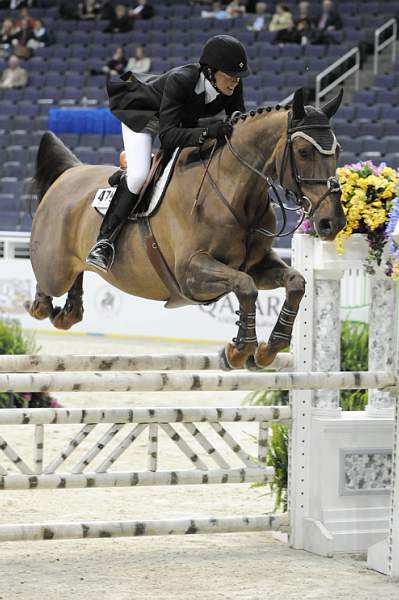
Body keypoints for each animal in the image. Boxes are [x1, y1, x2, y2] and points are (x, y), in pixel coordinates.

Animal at [26, 88, 346, 370]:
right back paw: (44, 303)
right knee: (46, 287)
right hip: (55, 268)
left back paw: (68, 311)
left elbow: (294, 282)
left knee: (73, 292)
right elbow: (245, 286)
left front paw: (269, 349)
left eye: (338, 150)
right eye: (303, 151)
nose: (332, 223)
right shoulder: (190, 273)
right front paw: (238, 351)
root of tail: (69, 173)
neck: (231, 192)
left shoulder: (255, 265)